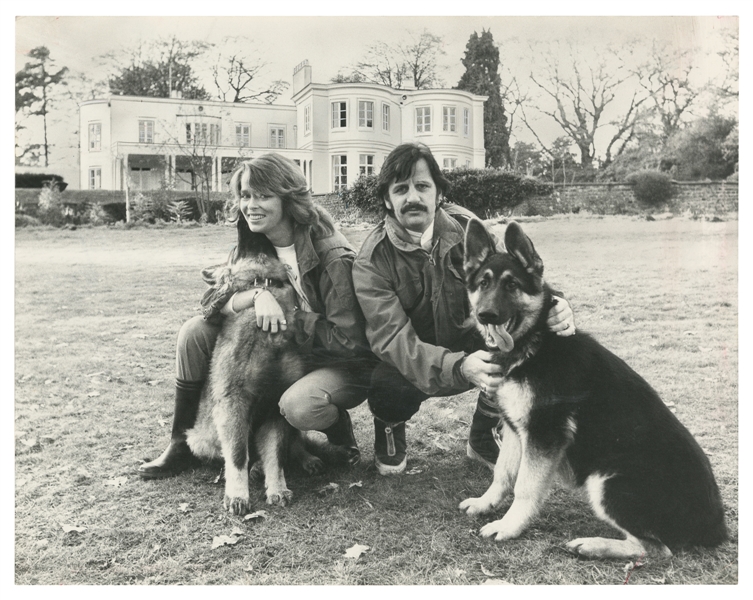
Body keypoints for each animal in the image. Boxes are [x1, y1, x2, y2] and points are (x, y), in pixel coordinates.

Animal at [187, 253, 322, 516]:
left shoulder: (277, 407)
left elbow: (277, 455)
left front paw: (277, 488)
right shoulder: (234, 404)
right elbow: (238, 455)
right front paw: (238, 495)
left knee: (294, 443)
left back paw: (306, 458)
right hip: (200, 440)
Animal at [456, 220, 724, 564]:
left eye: (512, 285)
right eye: (483, 283)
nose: (486, 315)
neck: (535, 343)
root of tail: (716, 526)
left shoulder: (543, 436)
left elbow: (525, 486)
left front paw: (508, 526)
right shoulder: (516, 430)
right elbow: (502, 473)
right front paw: (485, 503)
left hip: (607, 482)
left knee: (655, 549)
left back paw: (591, 545)